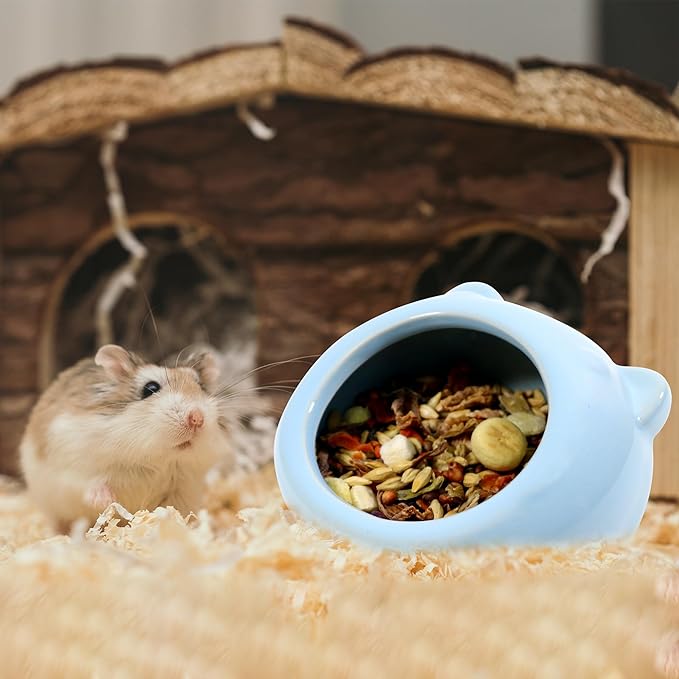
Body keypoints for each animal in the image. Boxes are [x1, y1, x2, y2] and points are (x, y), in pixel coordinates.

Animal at [20, 344, 233, 533]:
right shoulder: (73, 465)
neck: (155, 458)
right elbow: (90, 484)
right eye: (150, 388)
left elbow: (173, 512)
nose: (197, 418)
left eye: (201, 386)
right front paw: (107, 501)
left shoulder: (183, 489)